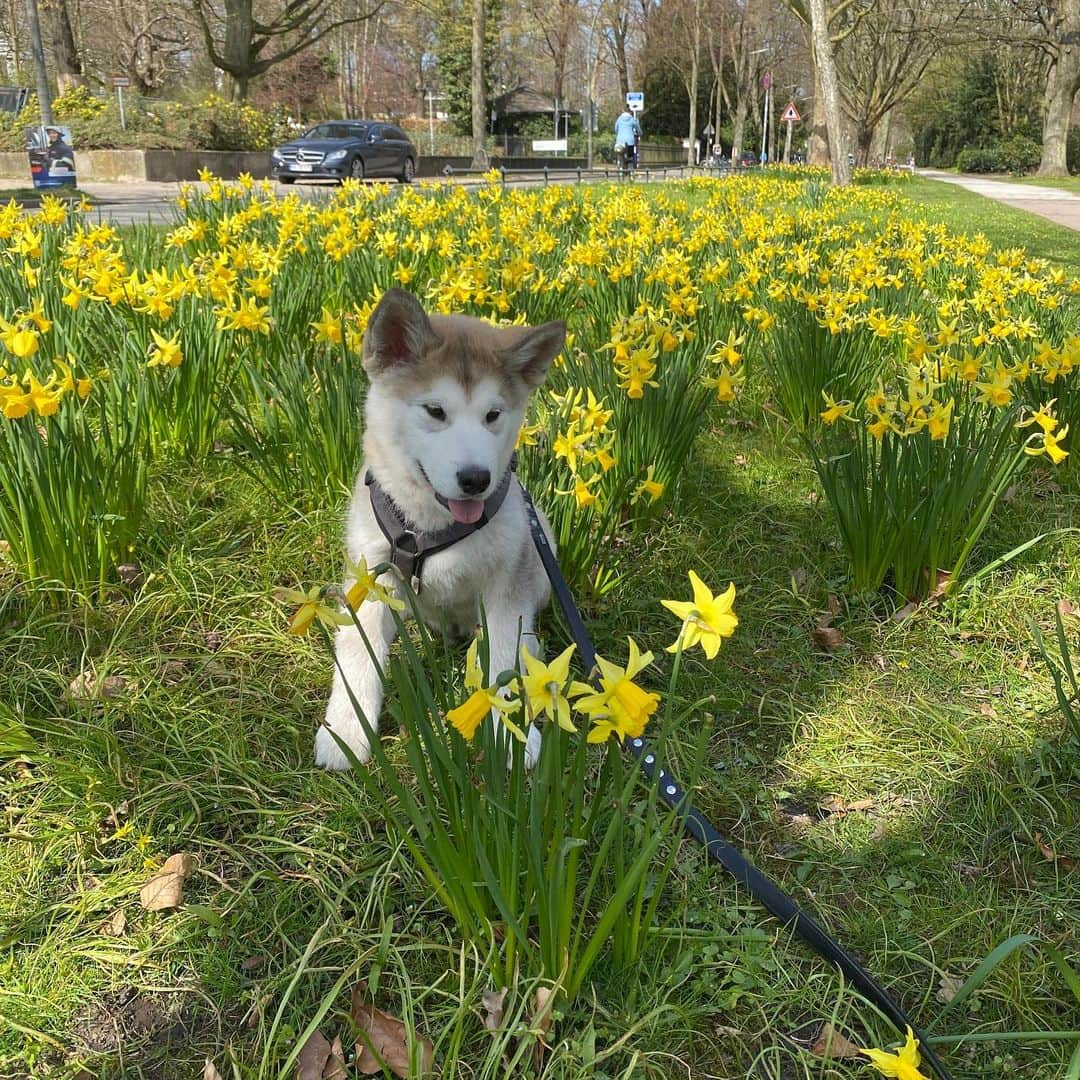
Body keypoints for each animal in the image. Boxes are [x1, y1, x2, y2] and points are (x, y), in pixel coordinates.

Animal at [315, 287, 565, 768]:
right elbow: (357, 655)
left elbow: (502, 658)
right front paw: (345, 732)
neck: (430, 528)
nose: (476, 479)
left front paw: (511, 735)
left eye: (493, 415)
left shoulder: (505, 585)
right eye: (435, 410)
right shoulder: (372, 575)